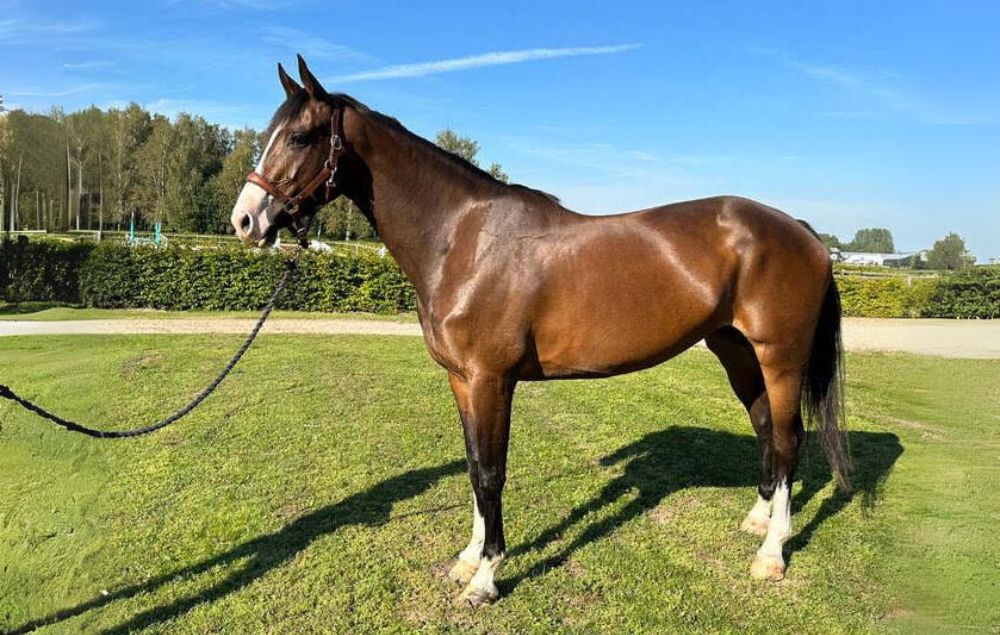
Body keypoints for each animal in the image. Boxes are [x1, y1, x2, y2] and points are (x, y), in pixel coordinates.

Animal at [230, 57, 848, 608]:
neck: (463, 239)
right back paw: (758, 519)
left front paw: (486, 578)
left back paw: (771, 554)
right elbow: (473, 465)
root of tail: (803, 231)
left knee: (789, 438)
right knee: (765, 427)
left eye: (301, 137)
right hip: (736, 350)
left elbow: (492, 470)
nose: (245, 221)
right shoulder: (462, 381)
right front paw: (467, 559)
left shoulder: (491, 380)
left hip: (780, 357)